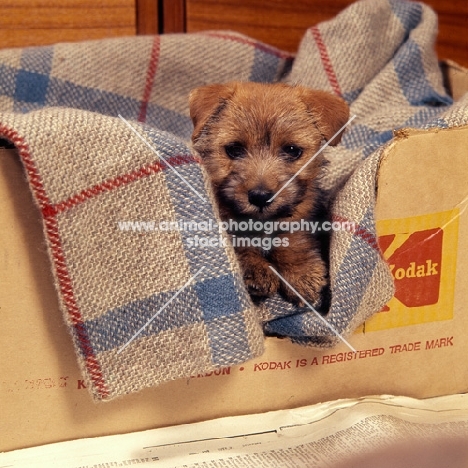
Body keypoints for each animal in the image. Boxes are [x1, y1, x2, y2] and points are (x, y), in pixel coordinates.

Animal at [188, 81, 350, 308]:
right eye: (234, 149)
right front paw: (256, 269)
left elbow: (293, 236)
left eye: (292, 150)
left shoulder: (301, 212)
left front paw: (301, 272)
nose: (260, 196)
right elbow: (241, 242)